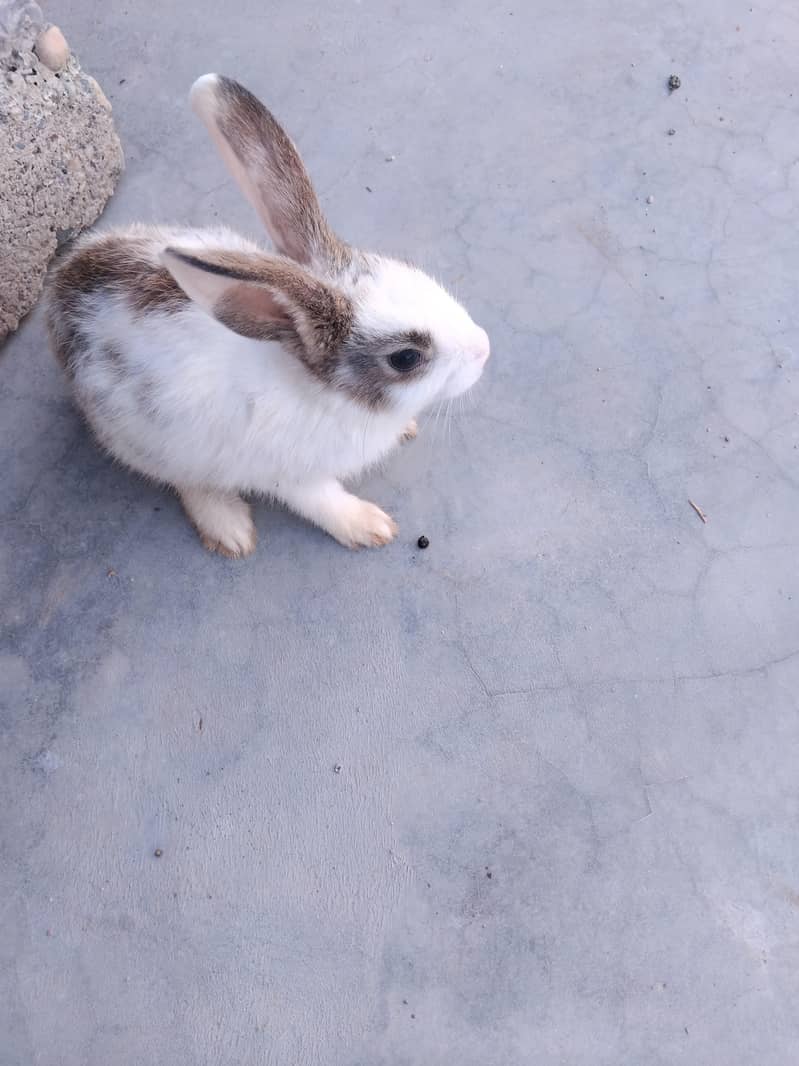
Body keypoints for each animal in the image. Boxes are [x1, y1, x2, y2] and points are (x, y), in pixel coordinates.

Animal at [46, 74, 490, 558]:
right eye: (406, 358)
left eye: (410, 270)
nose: (484, 348)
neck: (323, 393)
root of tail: (63, 284)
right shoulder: (290, 476)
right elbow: (319, 500)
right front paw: (370, 526)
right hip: (150, 442)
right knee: (186, 482)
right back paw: (230, 530)